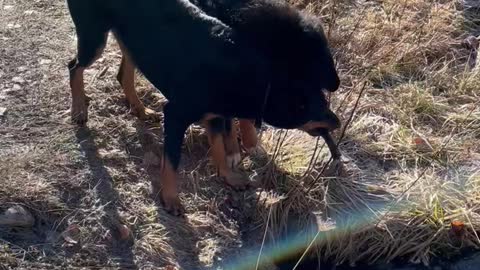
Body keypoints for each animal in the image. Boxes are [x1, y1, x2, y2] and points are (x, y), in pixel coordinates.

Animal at [65, 0, 342, 215]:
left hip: (133, 43)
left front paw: (229, 176)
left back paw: (140, 109)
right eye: (317, 107)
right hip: (94, 38)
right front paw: (171, 199)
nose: (338, 122)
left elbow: (218, 146)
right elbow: (172, 161)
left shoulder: (216, 116)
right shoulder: (176, 115)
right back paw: (79, 109)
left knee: (123, 75)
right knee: (74, 66)